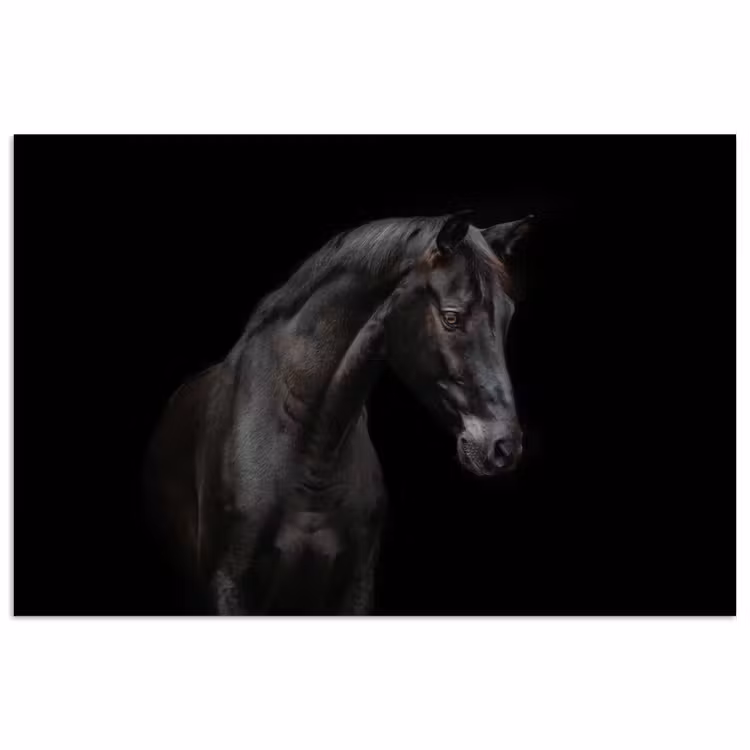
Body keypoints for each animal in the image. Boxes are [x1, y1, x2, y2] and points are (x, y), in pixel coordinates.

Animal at [144, 211, 534, 614]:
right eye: (452, 317)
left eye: (507, 315)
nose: (504, 446)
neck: (311, 449)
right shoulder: (228, 585)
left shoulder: (356, 585)